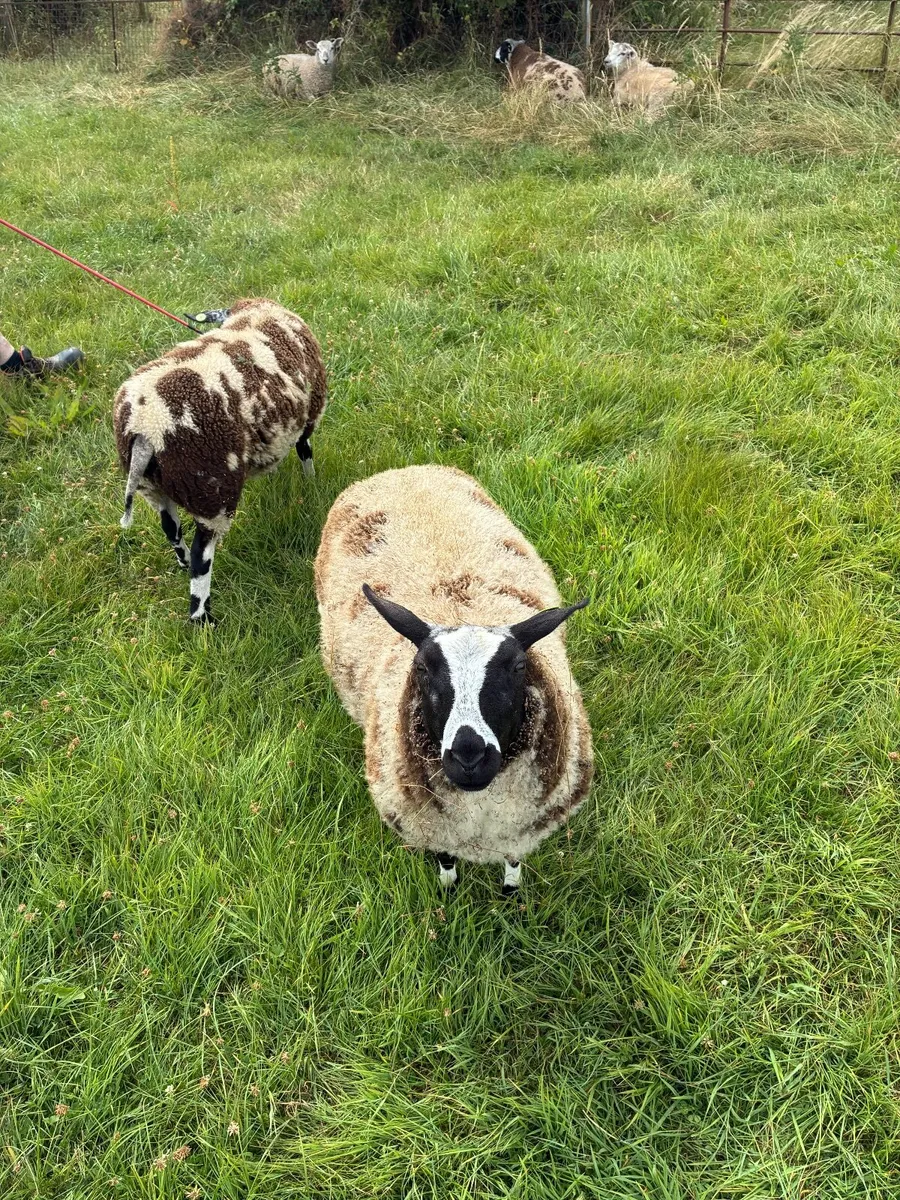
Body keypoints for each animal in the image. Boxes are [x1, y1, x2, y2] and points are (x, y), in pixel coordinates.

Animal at [113, 298, 326, 625]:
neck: (254, 314)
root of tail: (145, 428)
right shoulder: (308, 415)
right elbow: (305, 452)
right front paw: (311, 483)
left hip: (157, 488)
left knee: (170, 528)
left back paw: (181, 563)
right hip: (212, 489)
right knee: (201, 556)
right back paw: (203, 619)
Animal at [314, 465, 594, 895]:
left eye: (518, 668)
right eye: (423, 669)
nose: (468, 756)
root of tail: (402, 470)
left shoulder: (519, 829)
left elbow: (513, 863)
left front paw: (510, 893)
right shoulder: (432, 829)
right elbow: (445, 859)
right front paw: (449, 886)